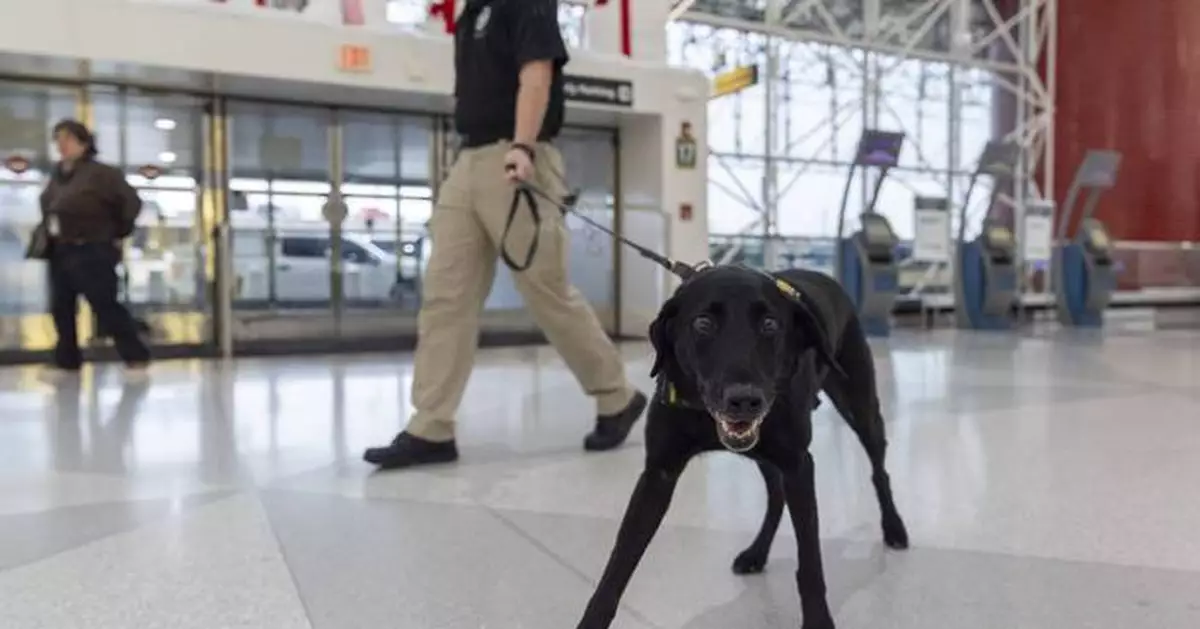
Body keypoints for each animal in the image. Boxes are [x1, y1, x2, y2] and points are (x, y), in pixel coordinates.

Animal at [576, 265, 902, 629]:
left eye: (770, 324)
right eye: (703, 323)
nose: (745, 400)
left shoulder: (799, 466)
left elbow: (810, 563)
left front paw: (818, 620)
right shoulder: (658, 474)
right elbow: (618, 565)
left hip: (860, 407)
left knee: (879, 470)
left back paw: (894, 528)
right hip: (764, 454)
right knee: (776, 497)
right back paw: (757, 552)